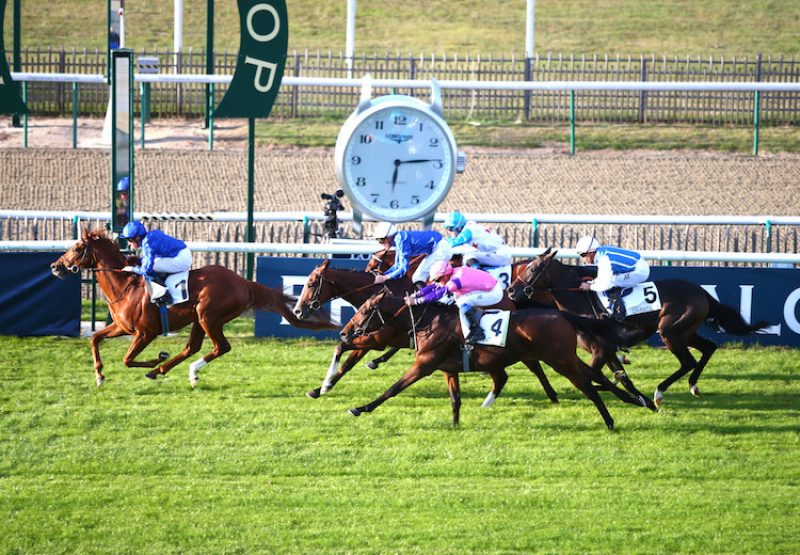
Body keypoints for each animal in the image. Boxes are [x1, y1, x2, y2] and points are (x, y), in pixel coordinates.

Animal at [49, 228, 338, 388]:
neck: (125, 286)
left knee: (220, 347)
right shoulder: (121, 327)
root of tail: (243, 282)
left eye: (77, 248)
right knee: (192, 347)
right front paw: (99, 375)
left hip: (208, 316)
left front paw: (156, 357)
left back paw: (180, 371)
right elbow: (95, 339)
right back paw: (164, 371)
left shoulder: (145, 333)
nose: (54, 266)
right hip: (199, 319)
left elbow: (127, 359)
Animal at [340, 288, 652, 428]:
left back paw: (610, 420)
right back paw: (639, 400)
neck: (429, 321)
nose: (344, 333)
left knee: (588, 385)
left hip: (559, 360)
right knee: (596, 376)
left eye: (364, 311)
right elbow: (455, 399)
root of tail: (560, 314)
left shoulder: (424, 365)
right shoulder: (447, 368)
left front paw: (360, 408)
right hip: (564, 358)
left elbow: (393, 389)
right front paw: (455, 425)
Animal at [506, 248, 768, 408]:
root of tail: (701, 292)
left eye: (532, 269)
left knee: (688, 361)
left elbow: (595, 376)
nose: (510, 290)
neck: (579, 304)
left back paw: (659, 392)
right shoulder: (608, 351)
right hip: (685, 331)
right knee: (708, 348)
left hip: (670, 331)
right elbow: (617, 377)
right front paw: (632, 393)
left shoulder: (600, 350)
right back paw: (693, 386)